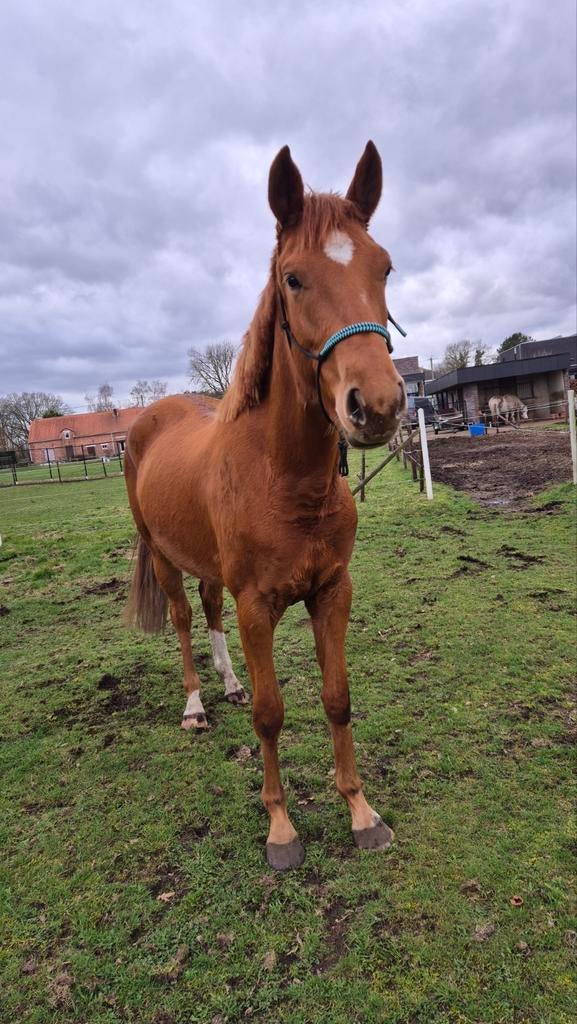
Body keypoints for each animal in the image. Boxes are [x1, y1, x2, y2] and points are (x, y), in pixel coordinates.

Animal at [123, 142, 406, 870]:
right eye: (293, 279)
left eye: (384, 267)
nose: (377, 405)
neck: (287, 483)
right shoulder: (258, 606)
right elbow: (272, 713)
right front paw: (281, 830)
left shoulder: (332, 592)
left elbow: (337, 699)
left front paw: (361, 812)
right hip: (162, 558)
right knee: (182, 621)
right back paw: (197, 704)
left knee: (208, 611)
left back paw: (226, 683)